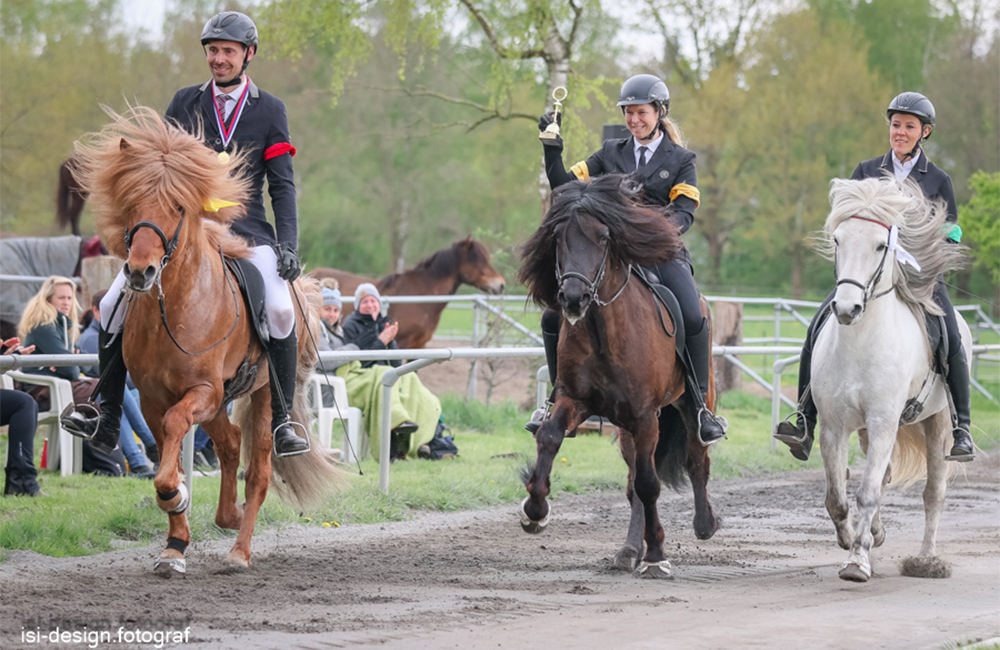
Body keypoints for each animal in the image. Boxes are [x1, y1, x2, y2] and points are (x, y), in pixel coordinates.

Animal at [72, 105, 346, 572]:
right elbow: (168, 449)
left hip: (263, 395)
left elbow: (174, 439)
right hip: (221, 401)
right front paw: (174, 542)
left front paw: (177, 499)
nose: (140, 272)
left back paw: (239, 549)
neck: (175, 310)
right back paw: (227, 516)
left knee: (258, 471)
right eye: (132, 203)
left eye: (177, 206)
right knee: (230, 443)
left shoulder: (202, 390)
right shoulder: (153, 397)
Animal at [516, 173, 720, 576]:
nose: (573, 298)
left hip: (689, 405)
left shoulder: (645, 416)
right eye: (558, 236)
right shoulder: (576, 400)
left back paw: (704, 524)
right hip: (627, 428)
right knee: (634, 482)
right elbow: (550, 437)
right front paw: (535, 510)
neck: (603, 331)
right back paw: (629, 550)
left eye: (603, 237)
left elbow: (650, 484)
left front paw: (656, 556)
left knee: (695, 460)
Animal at [812, 177, 968, 584]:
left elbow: (866, 492)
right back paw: (876, 533)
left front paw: (856, 561)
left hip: (937, 423)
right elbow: (837, 495)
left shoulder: (884, 422)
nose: (846, 308)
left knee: (933, 492)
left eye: (881, 245)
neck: (860, 343)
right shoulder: (835, 426)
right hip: (871, 431)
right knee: (883, 477)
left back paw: (926, 561)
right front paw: (852, 538)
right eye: (837, 240)